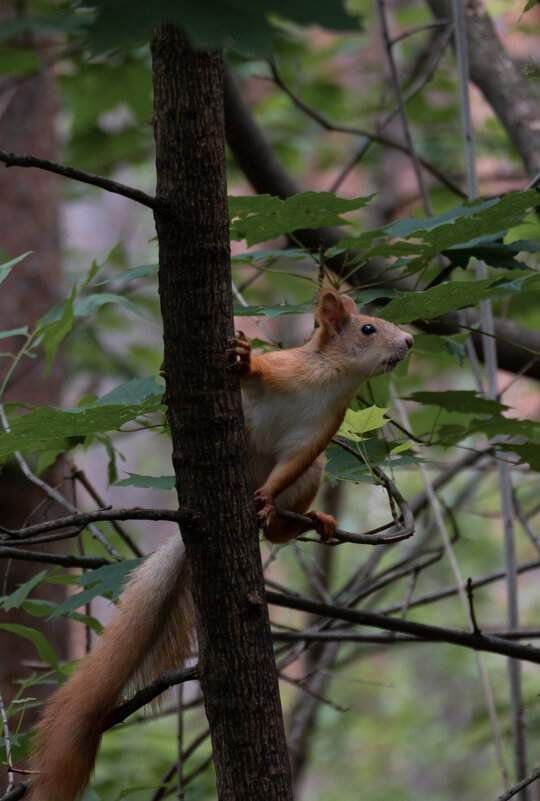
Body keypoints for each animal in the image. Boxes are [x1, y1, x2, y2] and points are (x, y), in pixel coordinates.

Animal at [27, 288, 414, 800]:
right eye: (368, 328)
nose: (409, 340)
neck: (334, 380)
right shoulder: (288, 368)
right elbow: (263, 371)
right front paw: (245, 357)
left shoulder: (317, 437)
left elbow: (290, 466)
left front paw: (268, 499)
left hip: (315, 473)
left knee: (276, 528)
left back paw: (306, 519)